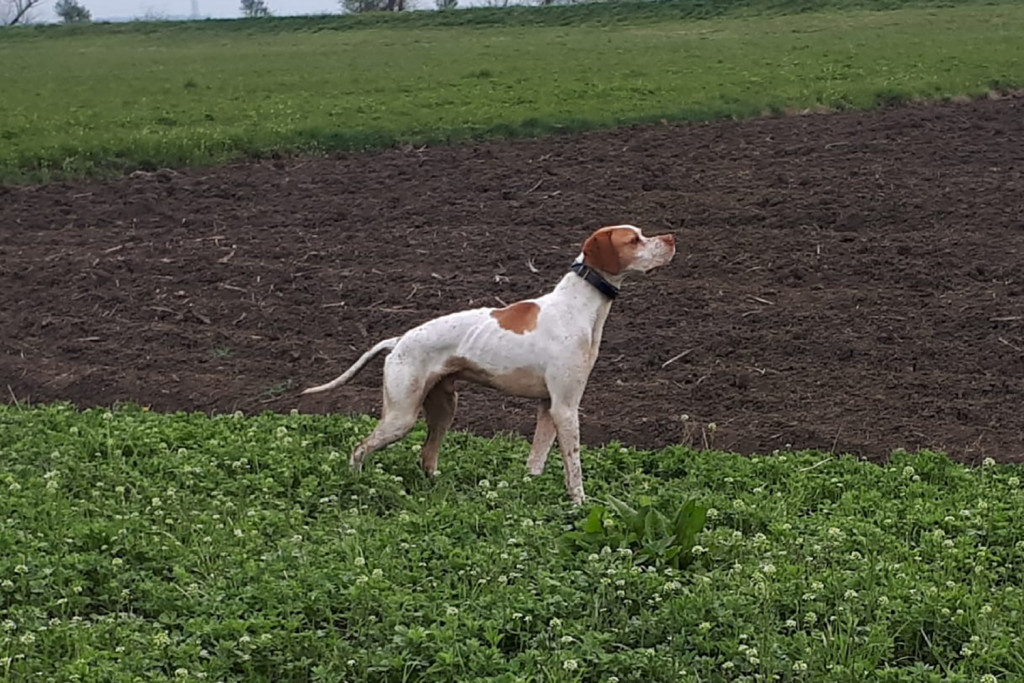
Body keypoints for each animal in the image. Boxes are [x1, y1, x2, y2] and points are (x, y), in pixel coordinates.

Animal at [299, 224, 675, 501]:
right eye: (634, 239)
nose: (672, 238)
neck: (577, 307)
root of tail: (399, 340)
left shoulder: (548, 407)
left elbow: (535, 462)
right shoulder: (566, 407)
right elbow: (574, 468)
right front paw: (580, 505)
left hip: (443, 410)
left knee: (426, 456)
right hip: (400, 417)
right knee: (359, 449)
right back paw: (357, 485)